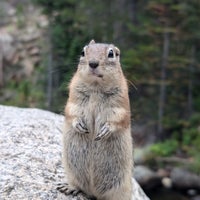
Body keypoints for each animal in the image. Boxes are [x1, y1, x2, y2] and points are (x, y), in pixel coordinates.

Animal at [57, 39, 133, 199]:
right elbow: (71, 111)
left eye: (111, 54)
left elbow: (119, 118)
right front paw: (78, 124)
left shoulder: (121, 102)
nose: (93, 63)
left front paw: (106, 130)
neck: (96, 86)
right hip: (72, 173)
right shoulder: (73, 97)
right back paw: (69, 187)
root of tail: (94, 193)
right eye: (83, 52)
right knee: (79, 185)